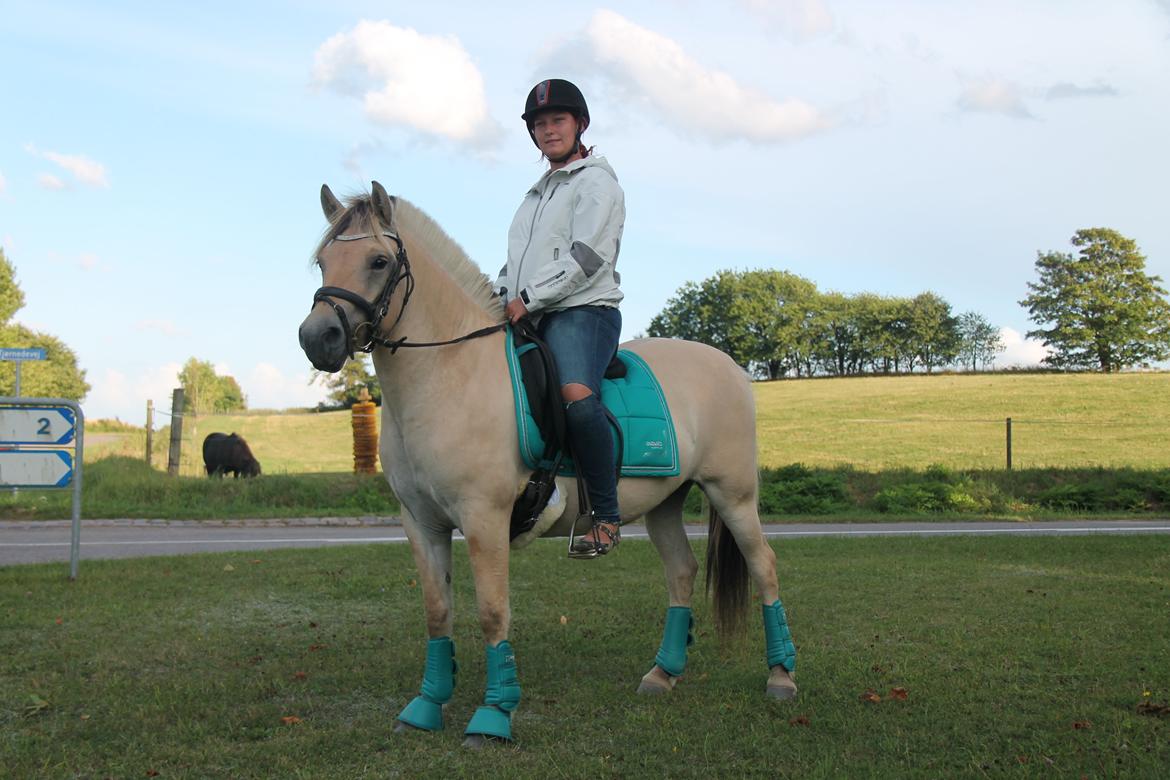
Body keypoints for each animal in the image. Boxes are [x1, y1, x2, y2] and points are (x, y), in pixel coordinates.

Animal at [297, 180, 800, 748]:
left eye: (379, 260)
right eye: (323, 262)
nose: (317, 338)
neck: (451, 372)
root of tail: (730, 366)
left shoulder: (485, 519)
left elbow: (493, 613)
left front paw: (493, 716)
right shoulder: (421, 523)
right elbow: (437, 612)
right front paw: (426, 707)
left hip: (732, 494)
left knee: (764, 566)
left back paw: (781, 676)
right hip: (666, 504)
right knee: (682, 572)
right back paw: (662, 674)